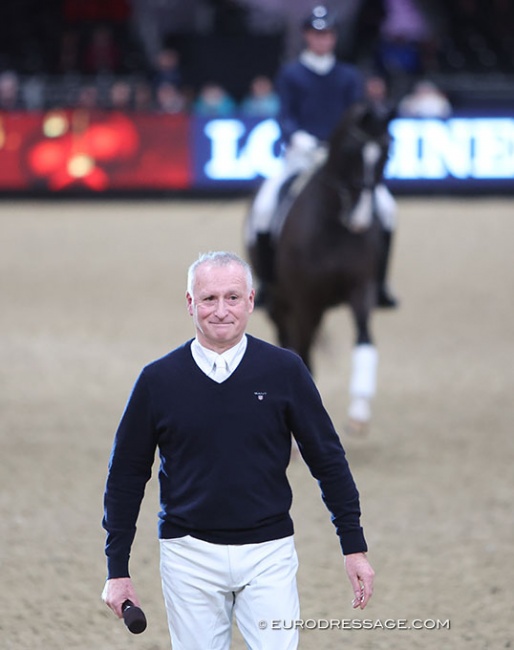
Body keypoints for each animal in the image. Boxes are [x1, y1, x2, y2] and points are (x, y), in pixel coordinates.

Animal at [246, 102, 394, 430]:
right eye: (351, 149)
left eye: (387, 152)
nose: (360, 218)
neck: (334, 227)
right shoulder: (305, 300)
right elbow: (301, 354)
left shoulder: (361, 289)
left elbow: (364, 340)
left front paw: (359, 412)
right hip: (281, 303)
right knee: (289, 339)